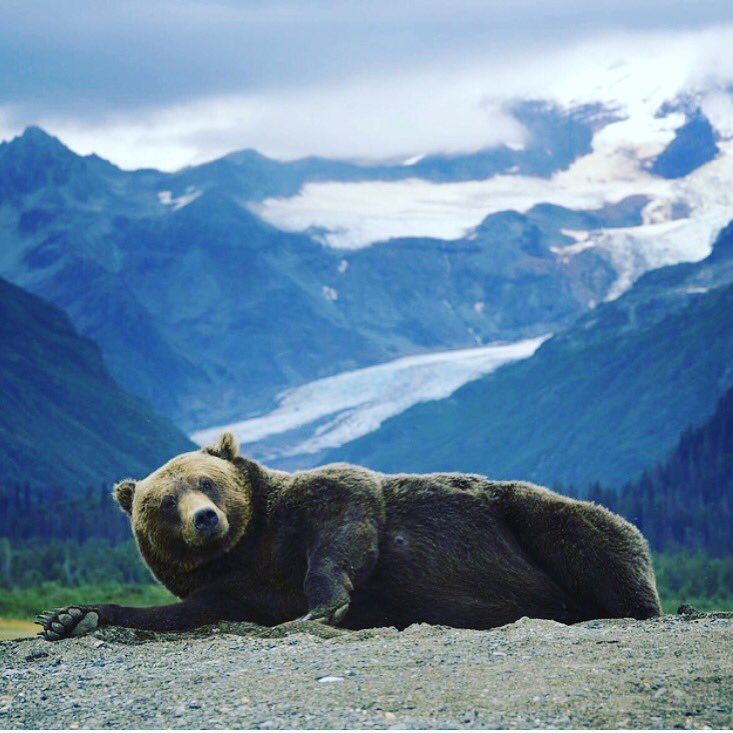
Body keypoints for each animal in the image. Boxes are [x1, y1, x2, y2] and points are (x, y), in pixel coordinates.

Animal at [36, 432, 661, 640]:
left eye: (206, 480)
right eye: (165, 502)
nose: (205, 518)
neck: (250, 549)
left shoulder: (318, 504)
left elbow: (346, 518)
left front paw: (321, 608)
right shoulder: (230, 588)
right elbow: (177, 613)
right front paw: (71, 617)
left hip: (527, 515)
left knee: (590, 534)